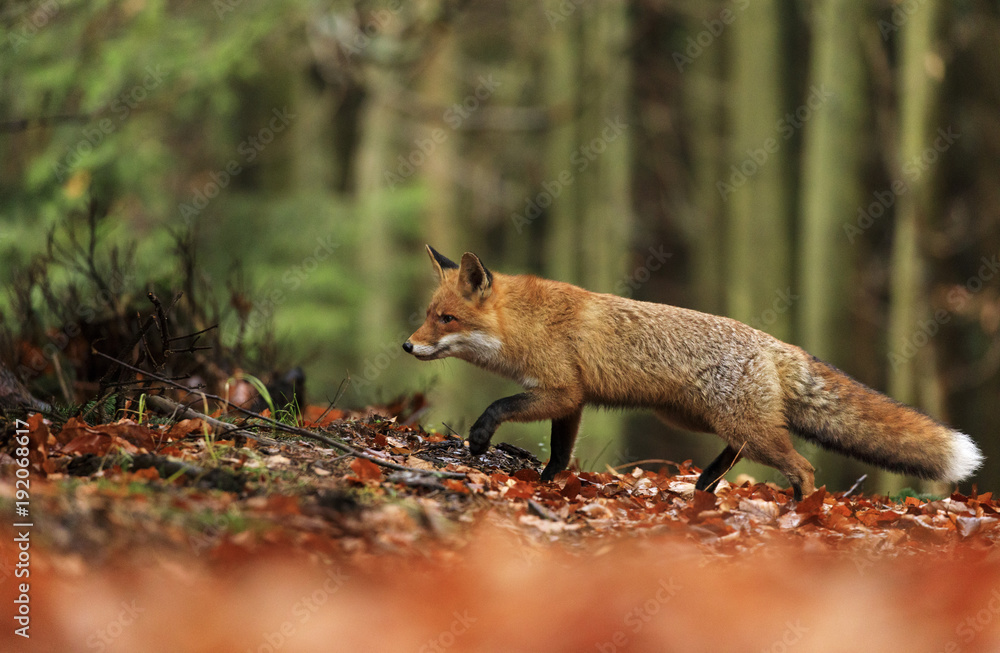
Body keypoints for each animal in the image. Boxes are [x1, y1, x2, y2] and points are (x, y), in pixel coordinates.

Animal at [403, 245, 984, 499]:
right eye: (427, 314)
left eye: (445, 319)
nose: (407, 345)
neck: (528, 322)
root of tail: (778, 344)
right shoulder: (573, 401)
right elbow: (561, 456)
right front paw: (547, 486)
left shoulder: (560, 390)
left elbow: (498, 407)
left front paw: (479, 438)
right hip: (696, 419)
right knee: (742, 451)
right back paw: (705, 485)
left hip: (736, 425)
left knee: (801, 466)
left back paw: (799, 514)